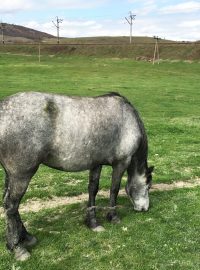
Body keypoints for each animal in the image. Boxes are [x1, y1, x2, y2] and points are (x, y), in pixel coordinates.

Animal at [0, 92, 153, 260]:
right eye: (148, 186)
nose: (144, 208)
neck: (128, 118)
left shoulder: (96, 163)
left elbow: (93, 189)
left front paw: (92, 222)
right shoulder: (121, 163)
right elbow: (114, 189)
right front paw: (113, 216)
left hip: (11, 175)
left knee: (9, 205)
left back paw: (24, 238)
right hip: (21, 176)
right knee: (11, 205)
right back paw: (18, 248)